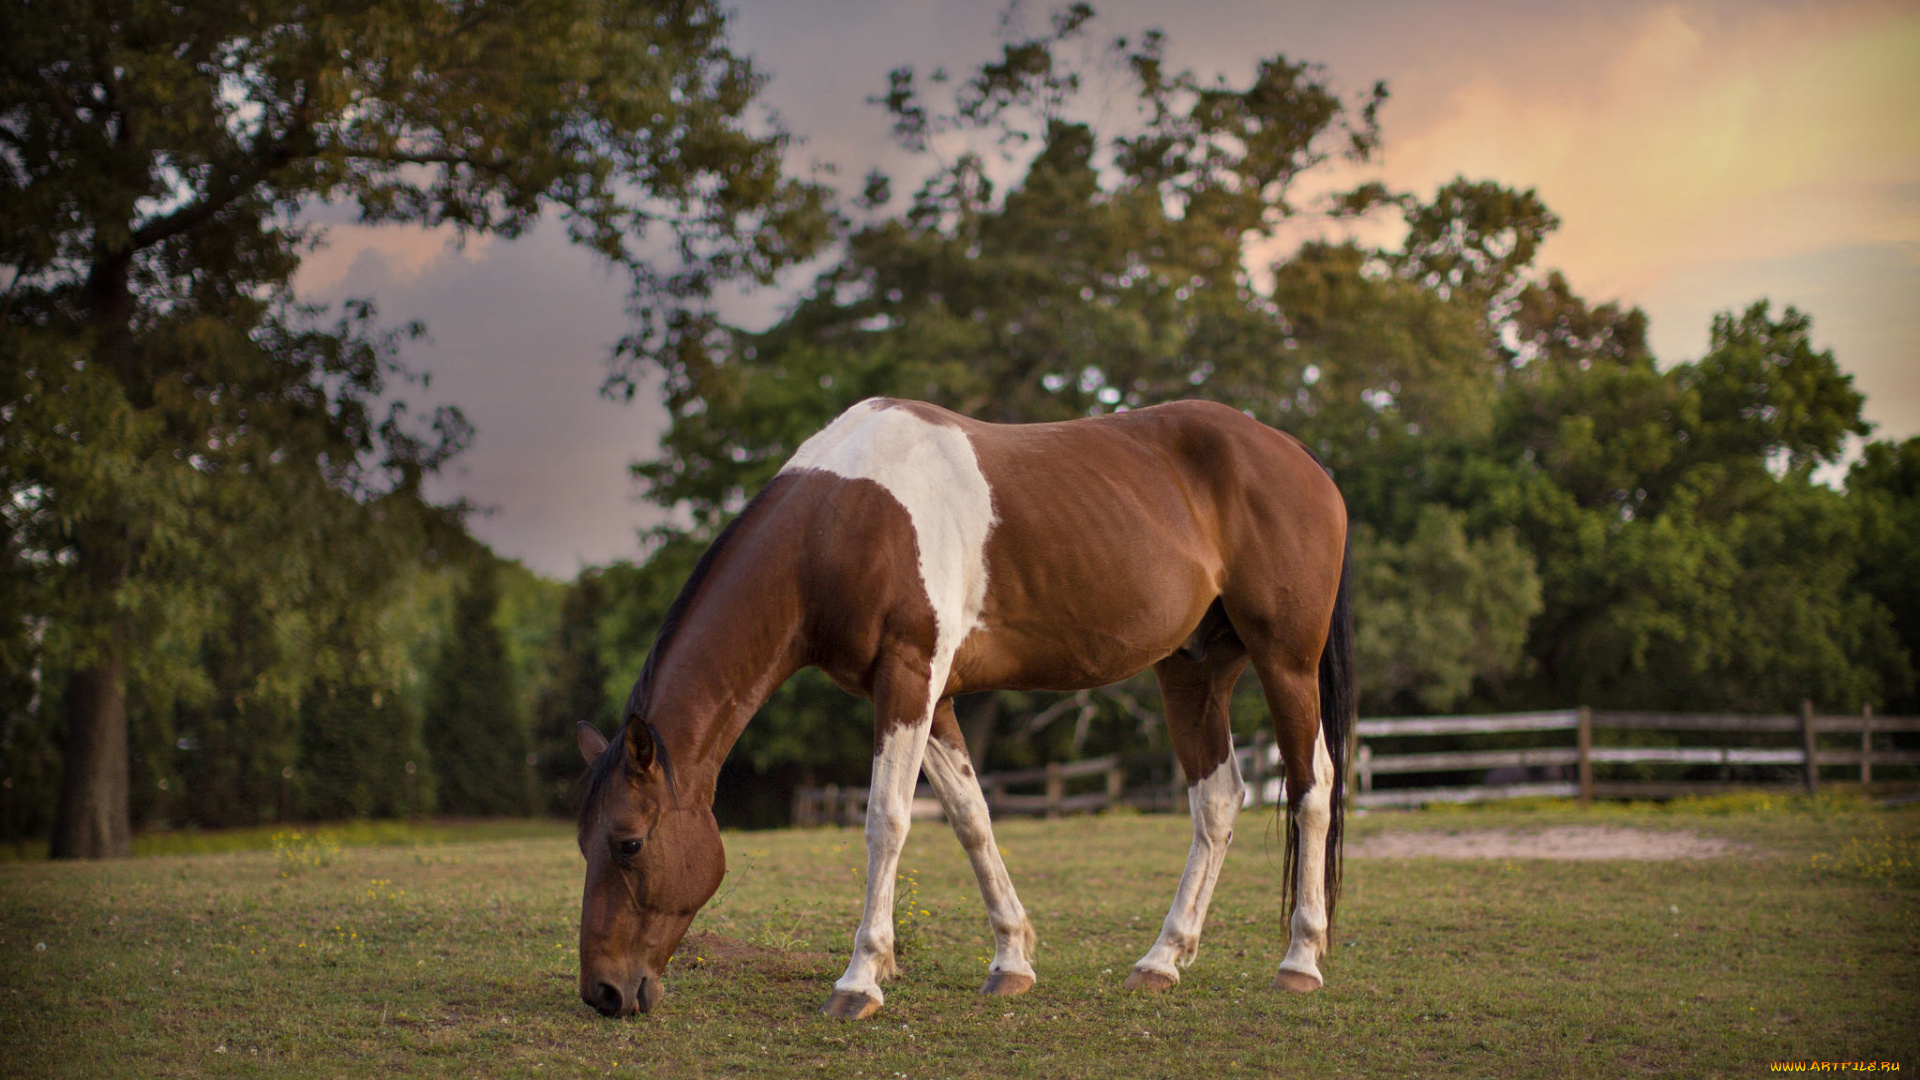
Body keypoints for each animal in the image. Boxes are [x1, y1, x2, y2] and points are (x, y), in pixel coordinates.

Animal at [564, 395, 1351, 1014]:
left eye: (628, 842)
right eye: (583, 841)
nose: (603, 993)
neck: (841, 519)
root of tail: (1296, 454)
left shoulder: (908, 678)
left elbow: (887, 820)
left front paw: (859, 980)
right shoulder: (932, 695)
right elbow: (971, 818)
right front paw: (1011, 962)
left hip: (1286, 661)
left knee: (1312, 786)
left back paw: (1300, 962)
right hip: (1194, 670)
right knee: (1216, 799)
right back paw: (1161, 960)